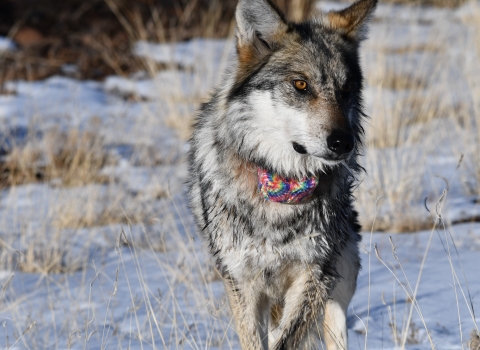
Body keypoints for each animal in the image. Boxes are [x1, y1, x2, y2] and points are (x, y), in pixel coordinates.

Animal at [188, 0, 376, 348]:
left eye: (346, 89)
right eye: (301, 84)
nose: (344, 143)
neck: (282, 182)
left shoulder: (315, 275)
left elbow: (287, 340)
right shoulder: (241, 281)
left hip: (341, 282)